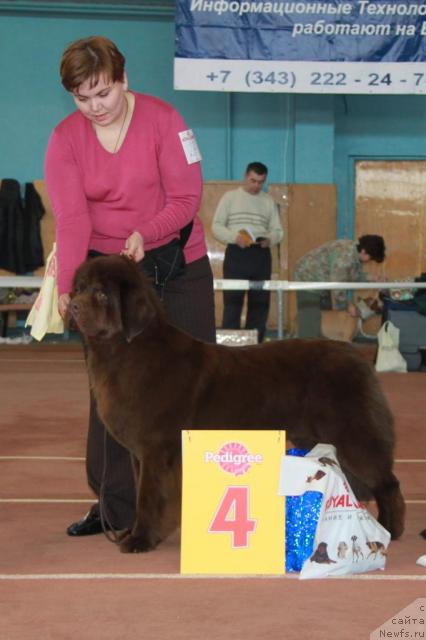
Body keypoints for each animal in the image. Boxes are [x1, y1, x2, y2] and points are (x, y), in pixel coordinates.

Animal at [70, 254, 406, 552]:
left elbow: (151, 498)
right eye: (79, 288)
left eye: (101, 293)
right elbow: (143, 494)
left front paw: (140, 540)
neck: (128, 350)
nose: (71, 305)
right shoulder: (140, 454)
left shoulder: (157, 450)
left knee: (387, 482)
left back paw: (390, 528)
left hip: (353, 436)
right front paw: (133, 533)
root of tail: (358, 358)